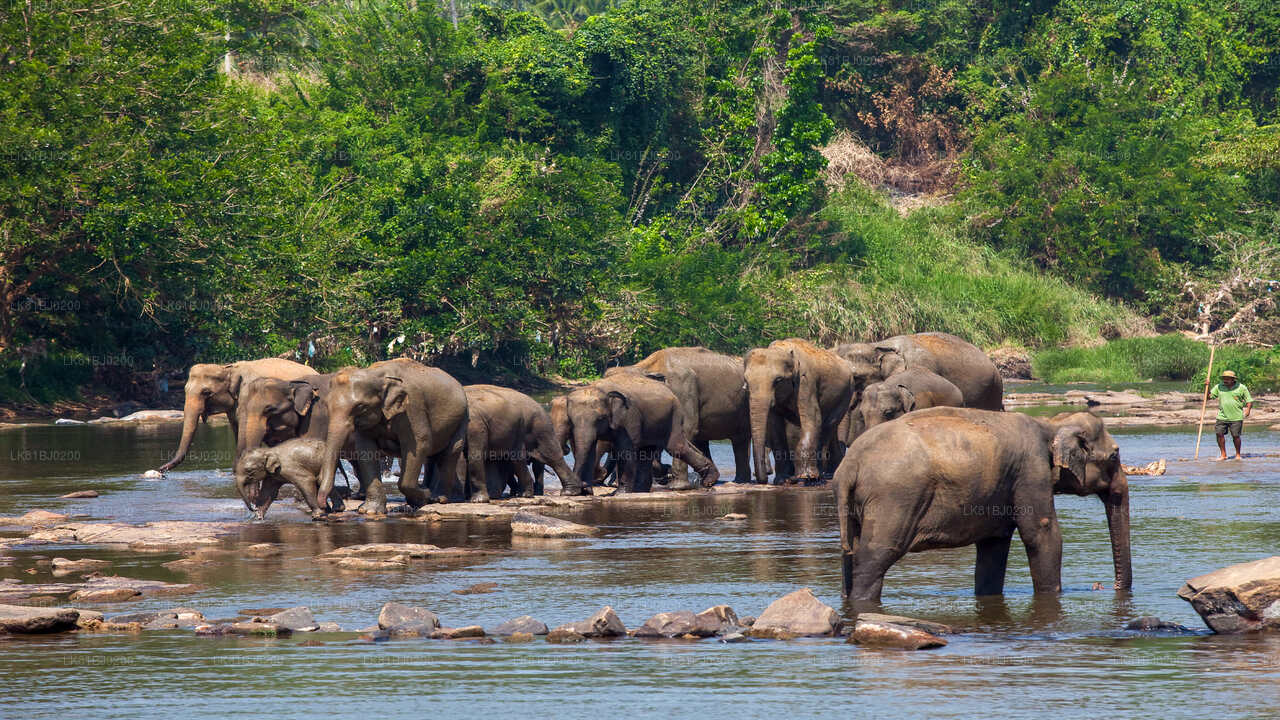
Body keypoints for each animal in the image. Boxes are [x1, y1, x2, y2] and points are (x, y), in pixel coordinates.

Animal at [158, 358, 317, 472]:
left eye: (206, 392)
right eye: (185, 390)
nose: (161, 469)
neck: (228, 368)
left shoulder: (248, 397)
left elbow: (243, 431)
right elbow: (236, 429)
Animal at [318, 358, 468, 512]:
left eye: (361, 407)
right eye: (326, 405)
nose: (325, 506)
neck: (378, 374)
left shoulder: (413, 407)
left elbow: (420, 443)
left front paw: (423, 497)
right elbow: (365, 450)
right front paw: (369, 510)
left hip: (462, 419)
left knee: (450, 453)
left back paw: (438, 498)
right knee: (434, 456)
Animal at [563, 373, 719, 494]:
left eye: (600, 418)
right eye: (570, 420)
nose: (571, 490)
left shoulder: (628, 416)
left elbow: (625, 450)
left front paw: (620, 493)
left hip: (674, 415)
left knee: (675, 447)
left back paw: (709, 480)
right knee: (647, 451)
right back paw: (640, 490)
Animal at [745, 338, 854, 484]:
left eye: (778, 380)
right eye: (746, 381)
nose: (762, 479)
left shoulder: (805, 382)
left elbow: (813, 418)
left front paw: (805, 478)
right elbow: (775, 427)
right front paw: (782, 480)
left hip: (846, 394)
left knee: (827, 426)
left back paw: (818, 477)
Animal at [834, 407, 1132, 602]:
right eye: (1114, 455)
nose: (1104, 586)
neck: (1049, 423)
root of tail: (850, 464)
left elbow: (993, 546)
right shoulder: (1031, 471)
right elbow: (1042, 534)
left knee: (850, 552)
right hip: (894, 499)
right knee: (876, 556)